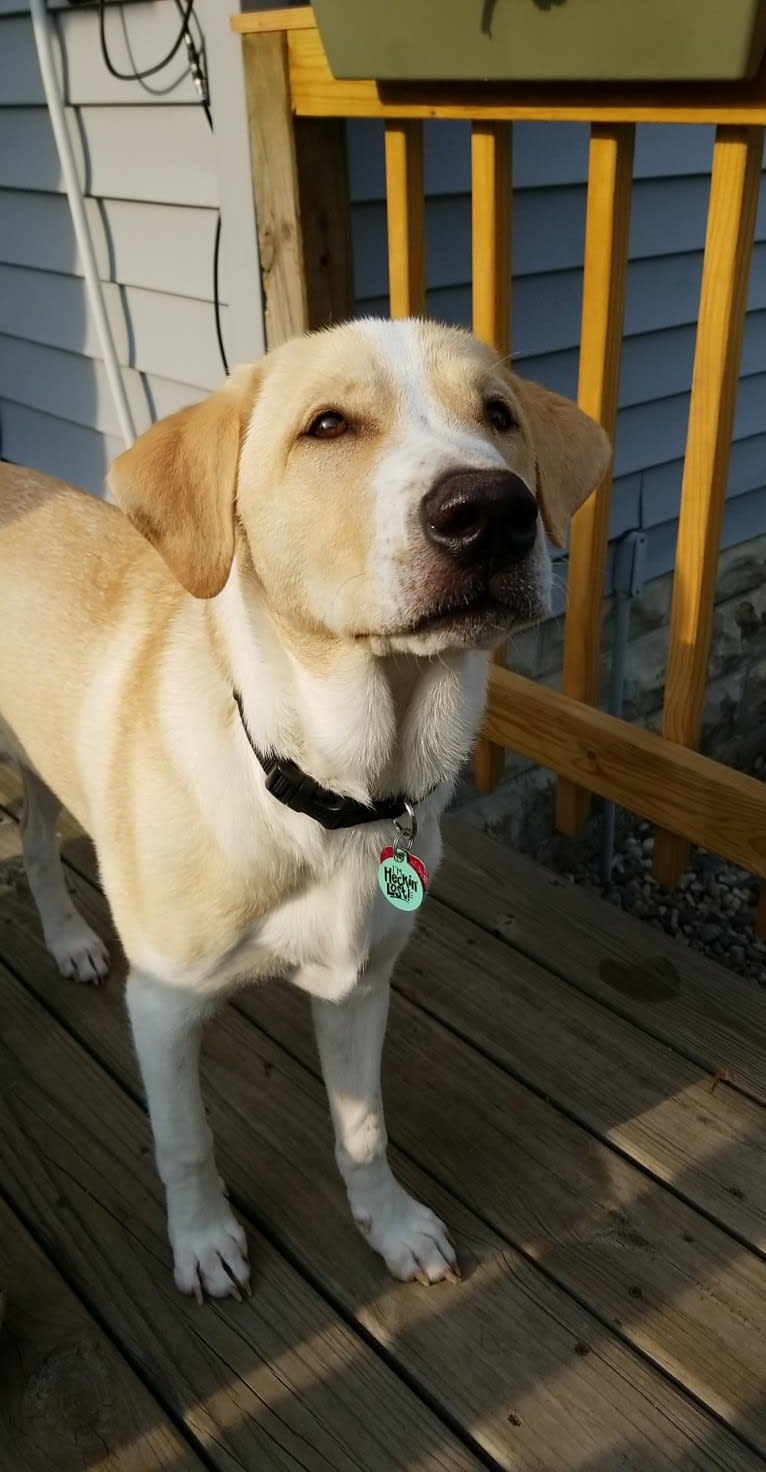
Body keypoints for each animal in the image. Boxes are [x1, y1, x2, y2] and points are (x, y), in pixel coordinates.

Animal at [0, 319, 609, 1301]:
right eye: (327, 426)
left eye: (499, 415)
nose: (493, 512)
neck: (335, 790)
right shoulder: (163, 1005)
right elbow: (185, 1143)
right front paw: (204, 1242)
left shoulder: (360, 985)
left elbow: (363, 1130)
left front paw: (389, 1228)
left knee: (40, 843)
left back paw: (68, 941)